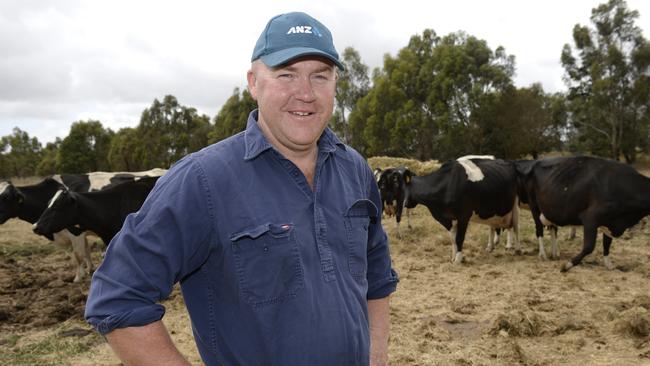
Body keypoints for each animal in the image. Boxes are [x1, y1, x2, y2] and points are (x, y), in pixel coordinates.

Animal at [392, 156, 520, 264]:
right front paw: (453, 257)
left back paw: (515, 248)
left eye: (399, 187)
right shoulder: (448, 218)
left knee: (514, 226)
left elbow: (459, 238)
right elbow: (453, 239)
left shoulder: (463, 216)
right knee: (495, 225)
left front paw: (458, 260)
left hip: (514, 204)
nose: (397, 209)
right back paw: (491, 246)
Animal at [512, 155, 648, 272]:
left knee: (552, 229)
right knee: (539, 229)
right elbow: (589, 247)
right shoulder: (590, 218)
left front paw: (609, 264)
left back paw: (554, 254)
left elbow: (607, 244)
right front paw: (567, 265)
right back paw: (543, 254)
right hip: (534, 207)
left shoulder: (610, 223)